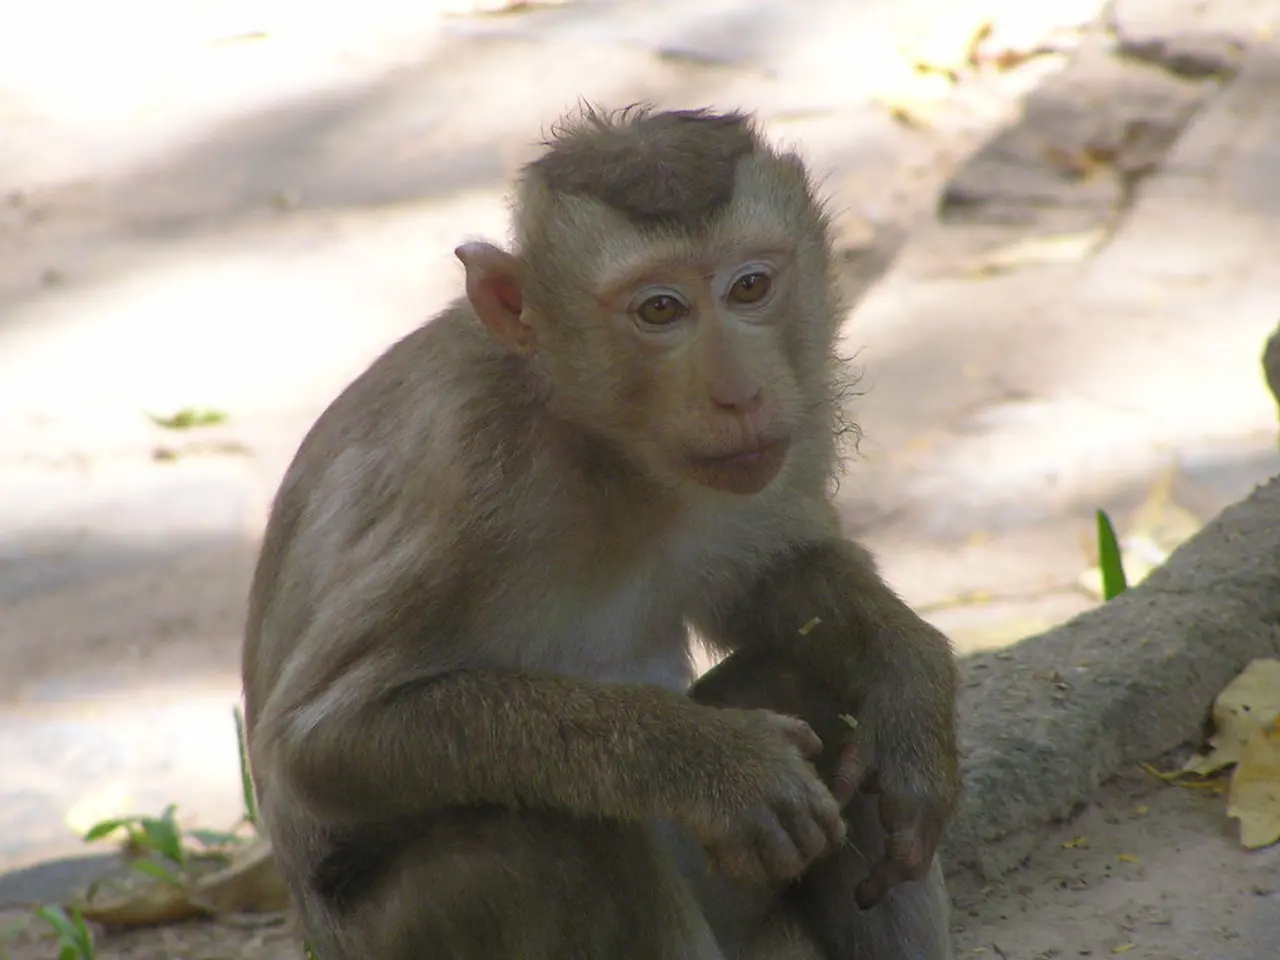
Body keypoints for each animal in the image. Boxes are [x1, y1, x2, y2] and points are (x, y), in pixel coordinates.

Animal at [242, 105, 960, 960]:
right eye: (660, 309)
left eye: (750, 286)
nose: (739, 394)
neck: (604, 451)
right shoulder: (468, 486)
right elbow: (316, 742)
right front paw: (717, 765)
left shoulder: (786, 439)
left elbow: (780, 574)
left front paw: (910, 684)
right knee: (555, 841)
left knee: (808, 685)